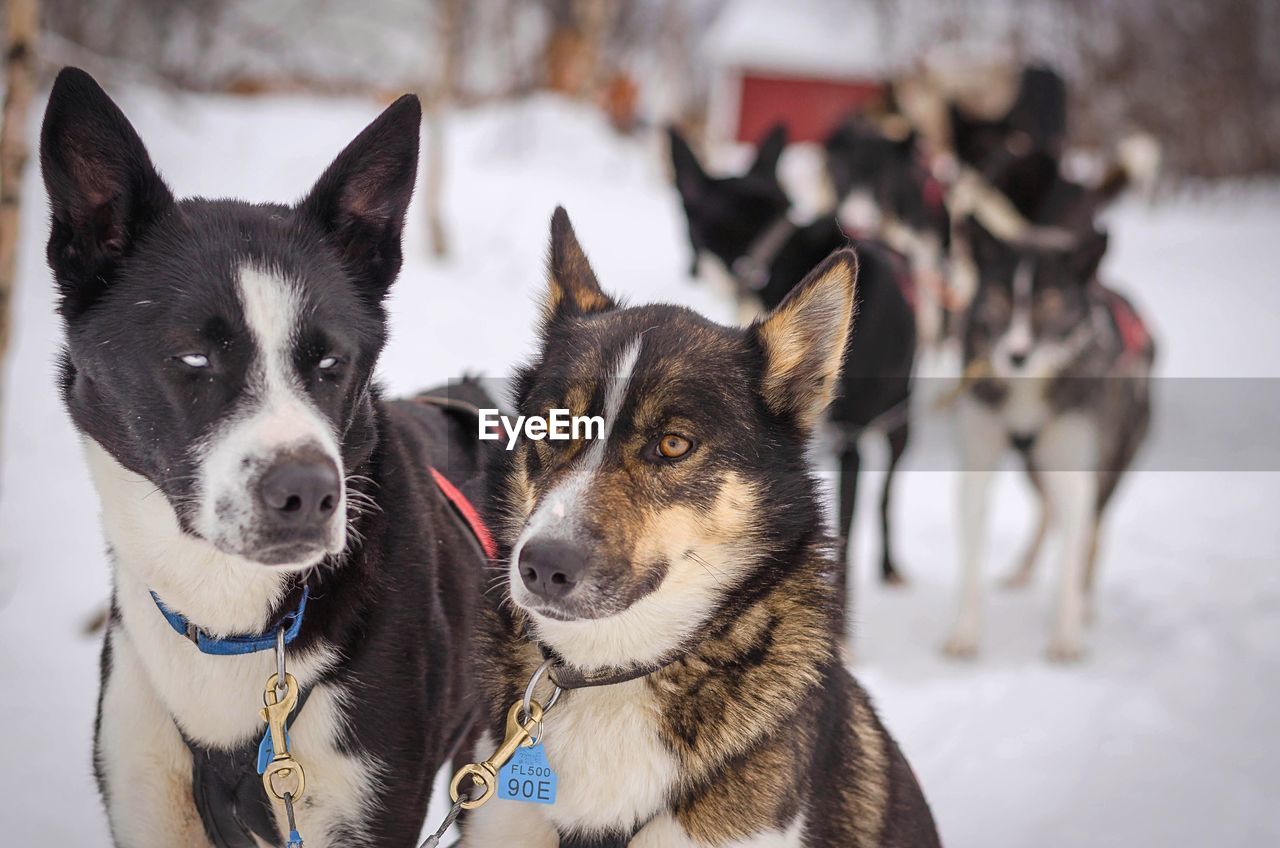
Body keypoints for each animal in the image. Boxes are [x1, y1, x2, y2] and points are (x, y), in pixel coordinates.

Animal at [41, 68, 488, 848]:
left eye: (331, 362)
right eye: (194, 357)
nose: (308, 493)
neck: (229, 624)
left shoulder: (364, 806)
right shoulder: (146, 800)